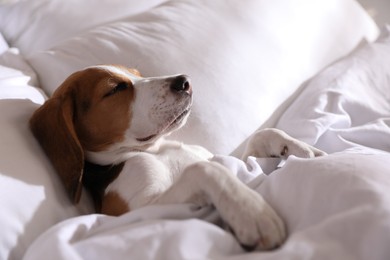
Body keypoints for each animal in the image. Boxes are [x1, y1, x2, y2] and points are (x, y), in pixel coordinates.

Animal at [29, 64, 324, 250]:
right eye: (114, 89)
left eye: (137, 75)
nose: (184, 81)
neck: (152, 149)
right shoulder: (139, 210)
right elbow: (206, 170)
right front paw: (251, 210)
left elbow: (262, 135)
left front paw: (303, 149)